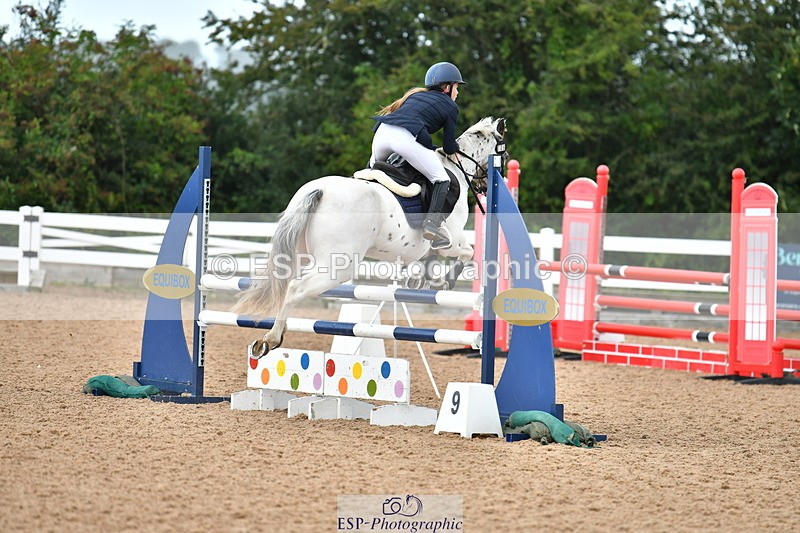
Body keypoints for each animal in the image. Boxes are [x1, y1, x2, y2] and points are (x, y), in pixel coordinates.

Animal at [234, 116, 507, 357]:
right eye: (503, 154)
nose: (489, 185)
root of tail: (320, 190)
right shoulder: (453, 240)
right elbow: (467, 252)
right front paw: (444, 282)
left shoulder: (428, 246)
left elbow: (430, 257)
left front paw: (423, 279)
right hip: (337, 266)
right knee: (294, 289)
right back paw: (271, 339)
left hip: (299, 254)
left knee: (285, 282)